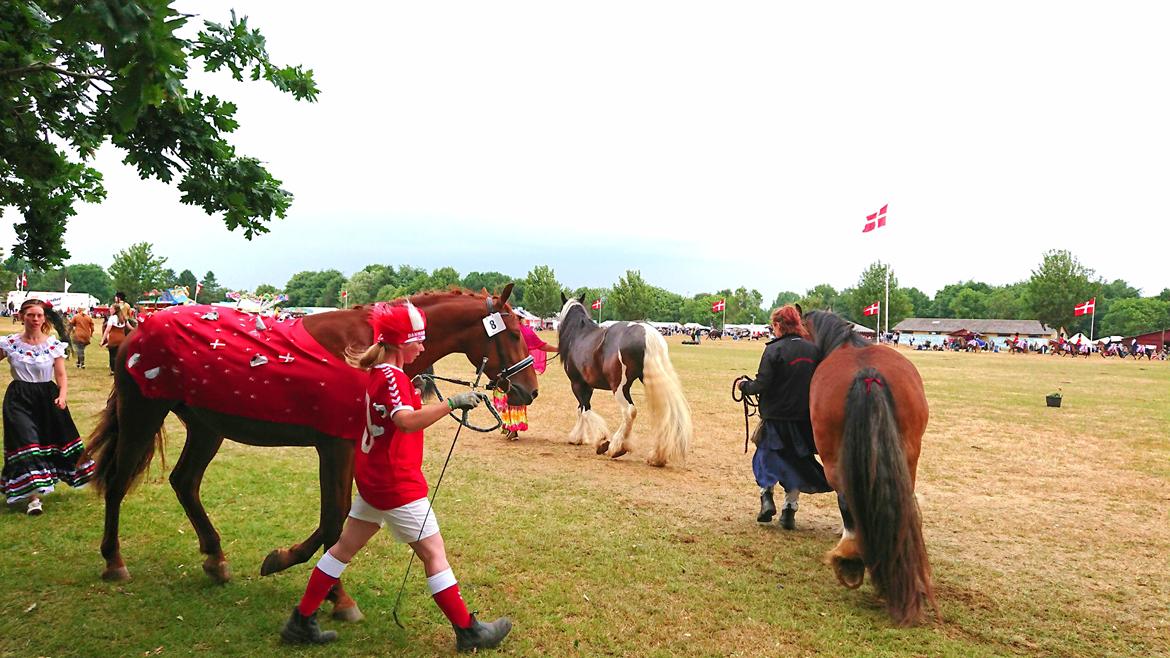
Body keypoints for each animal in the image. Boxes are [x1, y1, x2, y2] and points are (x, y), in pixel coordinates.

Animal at [84, 284, 535, 618]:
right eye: (513, 334)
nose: (528, 391)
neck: (365, 350)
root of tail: (139, 331)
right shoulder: (336, 447)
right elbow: (335, 518)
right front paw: (338, 597)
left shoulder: (347, 448)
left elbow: (338, 516)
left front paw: (283, 558)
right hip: (143, 415)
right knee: (119, 482)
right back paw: (114, 560)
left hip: (207, 428)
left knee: (185, 482)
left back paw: (214, 557)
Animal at [559, 295, 692, 463]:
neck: (579, 334)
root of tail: (646, 332)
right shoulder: (587, 386)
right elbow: (581, 409)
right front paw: (578, 437)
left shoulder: (577, 383)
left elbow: (584, 409)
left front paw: (601, 441)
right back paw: (656, 456)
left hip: (620, 387)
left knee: (629, 411)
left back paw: (616, 447)